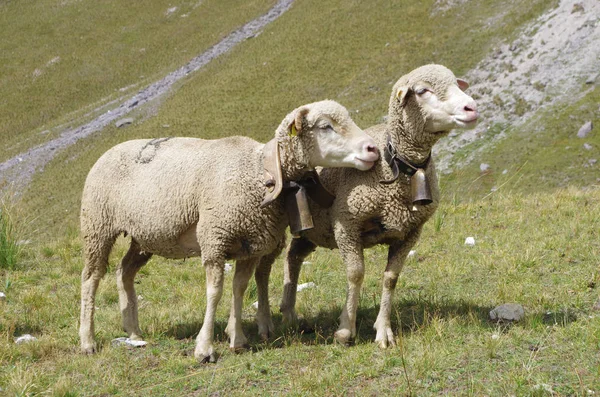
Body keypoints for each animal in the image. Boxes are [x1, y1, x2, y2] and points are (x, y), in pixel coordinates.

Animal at [78, 100, 380, 362]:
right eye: (325, 126)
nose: (373, 149)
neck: (258, 173)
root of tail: (109, 151)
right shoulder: (215, 239)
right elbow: (215, 292)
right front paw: (205, 348)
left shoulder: (251, 244)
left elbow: (240, 287)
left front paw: (238, 339)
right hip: (97, 225)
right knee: (91, 278)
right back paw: (87, 340)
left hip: (145, 236)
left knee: (124, 271)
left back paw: (133, 330)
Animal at [264, 65, 480, 346]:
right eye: (423, 90)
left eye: (456, 83)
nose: (471, 108)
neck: (395, 164)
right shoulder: (346, 225)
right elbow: (355, 274)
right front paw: (346, 329)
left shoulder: (411, 232)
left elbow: (391, 279)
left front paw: (383, 330)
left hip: (313, 230)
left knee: (293, 256)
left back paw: (289, 311)